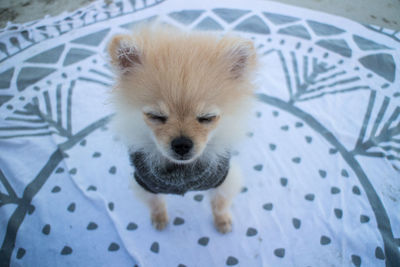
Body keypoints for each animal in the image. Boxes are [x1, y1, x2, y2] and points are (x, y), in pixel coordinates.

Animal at [108, 25, 258, 234]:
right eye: (155, 116)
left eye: (207, 117)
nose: (181, 144)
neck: (182, 172)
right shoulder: (144, 183)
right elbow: (155, 203)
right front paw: (159, 218)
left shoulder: (223, 179)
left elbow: (219, 203)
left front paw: (222, 221)